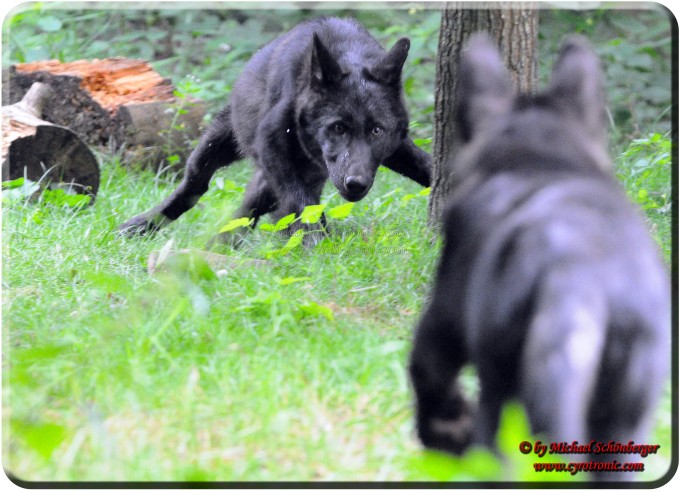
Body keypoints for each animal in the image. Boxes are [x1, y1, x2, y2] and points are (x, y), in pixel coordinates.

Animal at [410, 35, 668, 480]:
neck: (542, 159)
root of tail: (586, 284)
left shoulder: (446, 316)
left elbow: (426, 369)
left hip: (506, 398)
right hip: (625, 423)